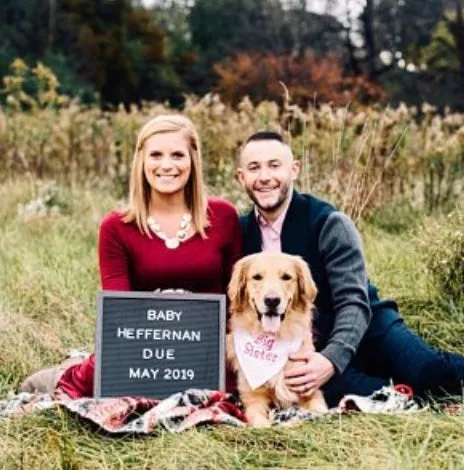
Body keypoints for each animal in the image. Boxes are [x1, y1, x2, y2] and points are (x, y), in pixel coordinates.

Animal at [227, 253, 328, 426]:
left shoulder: (311, 391)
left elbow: (323, 411)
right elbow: (261, 423)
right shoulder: (253, 399)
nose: (272, 300)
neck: (275, 337)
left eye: (286, 277)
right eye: (257, 277)